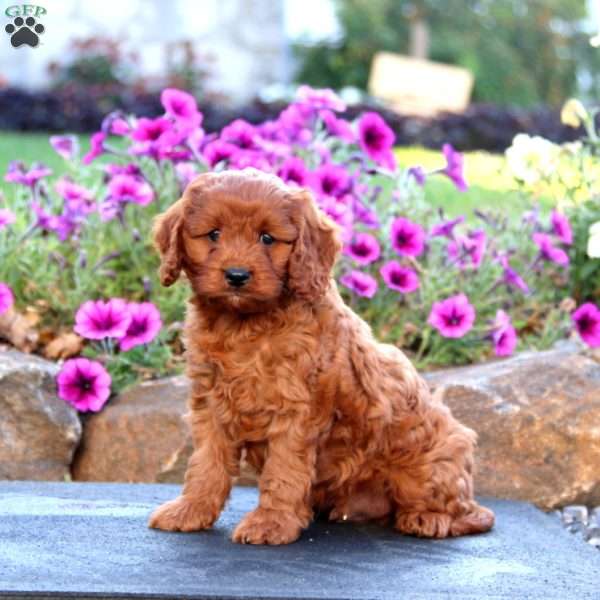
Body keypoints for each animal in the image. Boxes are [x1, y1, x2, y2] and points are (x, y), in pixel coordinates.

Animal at [148, 168, 494, 544]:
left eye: (267, 238)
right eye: (213, 234)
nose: (237, 275)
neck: (244, 325)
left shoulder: (296, 410)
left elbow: (284, 471)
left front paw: (271, 523)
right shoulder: (211, 405)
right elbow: (206, 464)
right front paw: (191, 510)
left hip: (431, 465)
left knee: (471, 514)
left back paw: (428, 518)